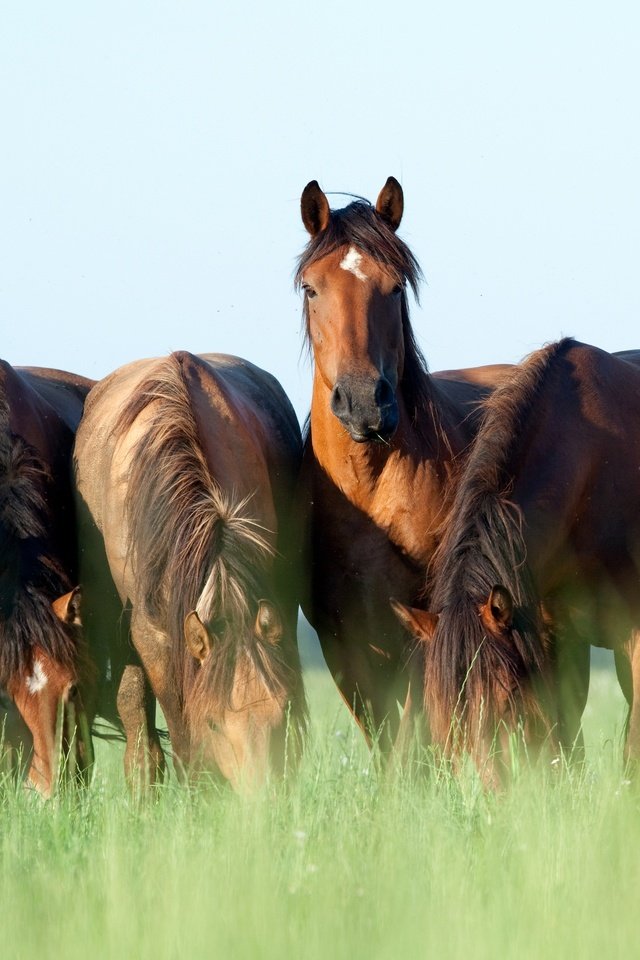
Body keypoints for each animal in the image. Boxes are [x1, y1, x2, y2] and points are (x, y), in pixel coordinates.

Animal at [296, 178, 516, 752]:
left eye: (395, 288)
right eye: (311, 288)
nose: (364, 403)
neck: (370, 488)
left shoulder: (423, 623)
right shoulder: (342, 640)